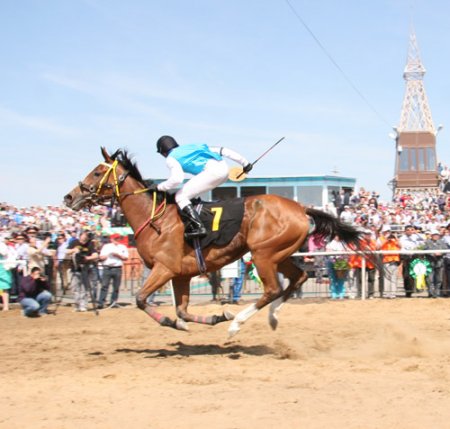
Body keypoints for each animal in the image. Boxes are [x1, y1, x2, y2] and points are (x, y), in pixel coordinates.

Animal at [64, 146, 366, 334]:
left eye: (96, 171)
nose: (69, 197)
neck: (155, 219)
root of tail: (301, 208)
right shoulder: (180, 274)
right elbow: (183, 311)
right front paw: (211, 317)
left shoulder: (164, 268)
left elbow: (140, 299)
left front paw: (179, 322)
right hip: (279, 255)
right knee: (297, 279)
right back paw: (272, 318)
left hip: (263, 255)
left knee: (272, 289)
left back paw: (237, 324)